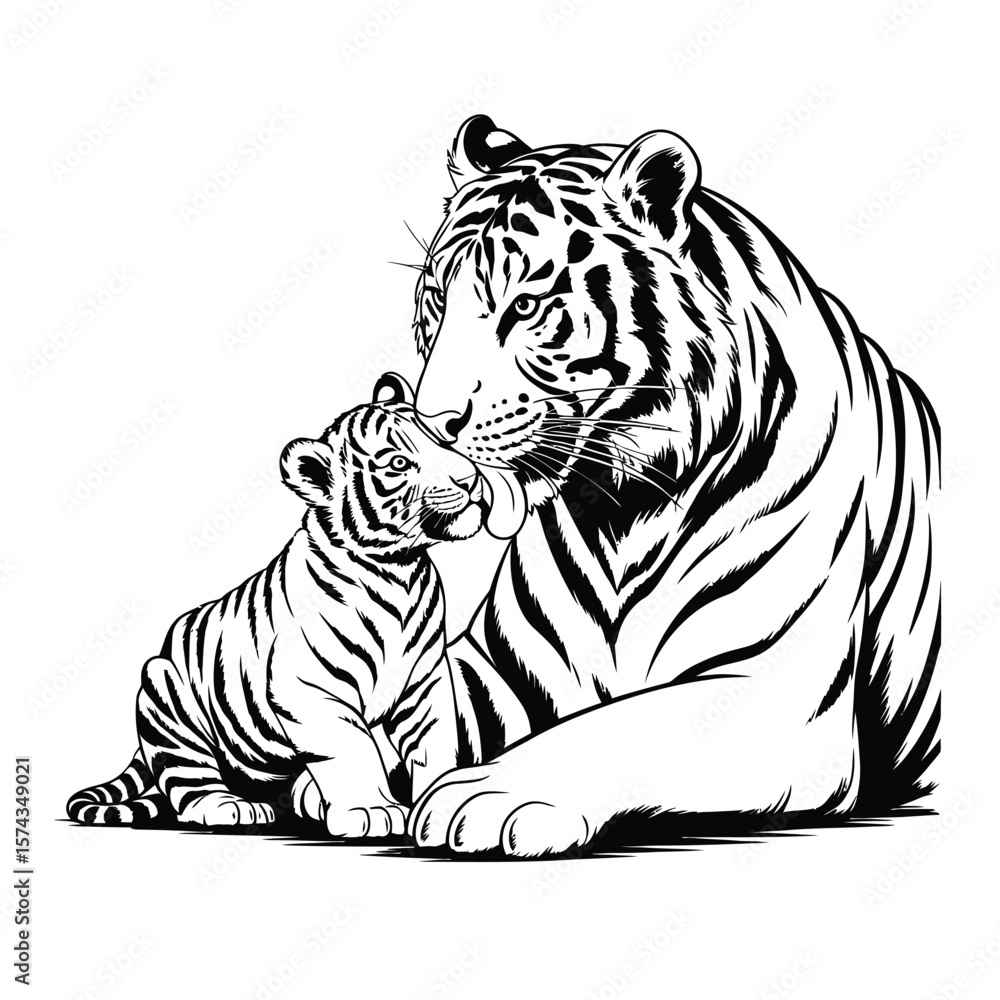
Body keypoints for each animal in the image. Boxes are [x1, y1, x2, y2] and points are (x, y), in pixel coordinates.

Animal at [66, 382, 485, 838]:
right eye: (399, 463)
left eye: (446, 440)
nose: (470, 479)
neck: (399, 571)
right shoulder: (308, 685)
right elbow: (353, 749)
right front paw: (370, 810)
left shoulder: (425, 683)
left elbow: (435, 746)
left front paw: (437, 803)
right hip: (166, 694)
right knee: (190, 786)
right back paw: (232, 808)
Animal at [402, 115, 942, 858]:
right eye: (435, 302)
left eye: (526, 306)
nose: (432, 421)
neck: (619, 510)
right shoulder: (498, 670)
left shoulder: (768, 693)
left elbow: (615, 727)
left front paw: (488, 796)